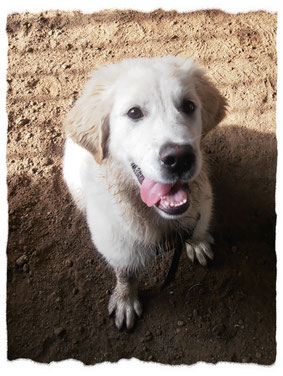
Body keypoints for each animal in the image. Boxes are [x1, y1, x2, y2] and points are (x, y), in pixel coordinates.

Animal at [63, 55, 227, 328]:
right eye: (134, 112)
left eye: (189, 106)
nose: (179, 159)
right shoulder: (116, 244)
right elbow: (125, 273)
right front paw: (125, 299)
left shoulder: (202, 207)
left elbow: (197, 228)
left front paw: (197, 242)